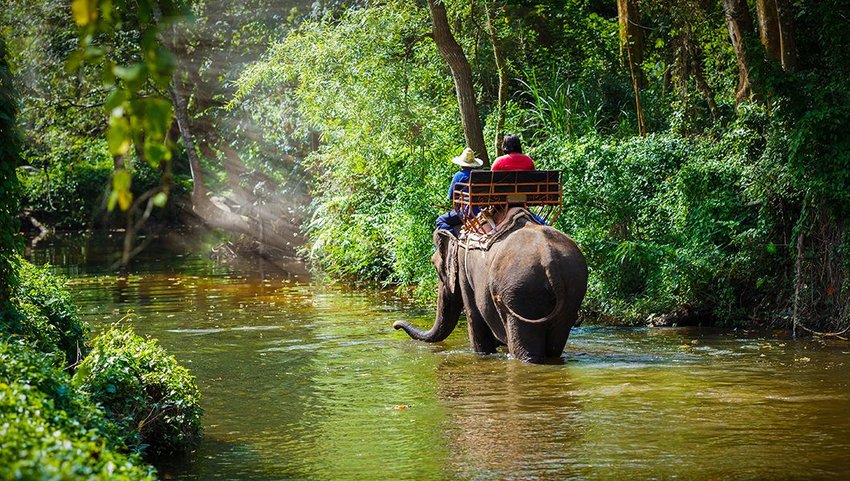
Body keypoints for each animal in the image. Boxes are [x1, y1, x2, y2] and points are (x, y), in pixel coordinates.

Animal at [394, 210, 588, 364]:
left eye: (434, 266)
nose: (395, 325)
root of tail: (549, 260)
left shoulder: (464, 270)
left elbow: (474, 316)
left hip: (521, 293)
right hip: (572, 289)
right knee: (555, 345)